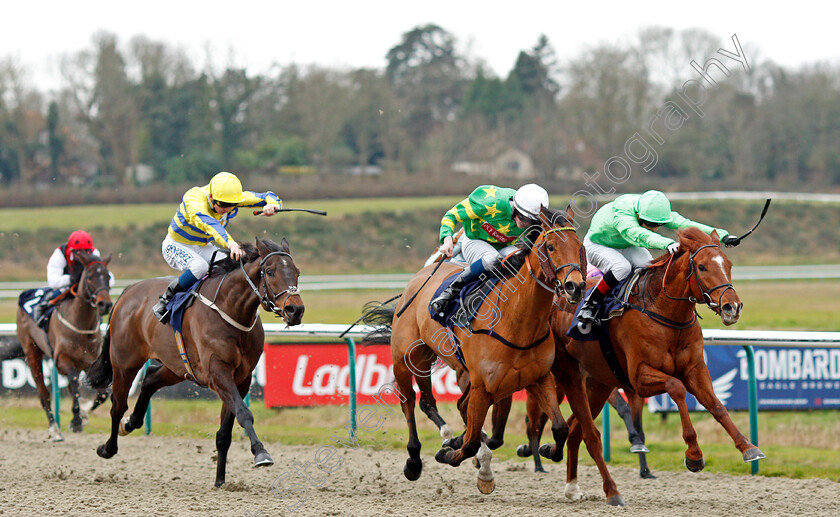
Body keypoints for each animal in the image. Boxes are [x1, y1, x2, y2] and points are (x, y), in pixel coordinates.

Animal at [15, 250, 112, 440]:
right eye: (89, 277)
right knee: (44, 393)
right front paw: (76, 420)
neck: (81, 325)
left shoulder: (92, 362)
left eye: (107, 276)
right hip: (32, 353)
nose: (105, 304)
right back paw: (54, 429)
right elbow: (74, 382)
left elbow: (103, 392)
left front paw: (84, 411)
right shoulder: (62, 360)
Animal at [88, 238, 306, 488]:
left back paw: (131, 423)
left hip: (177, 366)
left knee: (150, 378)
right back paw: (108, 447)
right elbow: (243, 413)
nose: (295, 310)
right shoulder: (218, 373)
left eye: (297, 272)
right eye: (270, 272)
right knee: (117, 405)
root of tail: (129, 290)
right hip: (124, 363)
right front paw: (261, 453)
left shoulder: (241, 378)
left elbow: (225, 432)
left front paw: (220, 480)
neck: (230, 310)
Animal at [364, 208, 588, 494]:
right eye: (550, 246)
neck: (517, 320)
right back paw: (414, 460)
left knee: (434, 402)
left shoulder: (538, 378)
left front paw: (547, 449)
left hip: (439, 362)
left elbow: (559, 428)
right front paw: (452, 454)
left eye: (579, 246)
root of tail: (419, 277)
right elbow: (471, 442)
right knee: (410, 402)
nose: (575, 287)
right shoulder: (483, 386)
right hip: (406, 359)